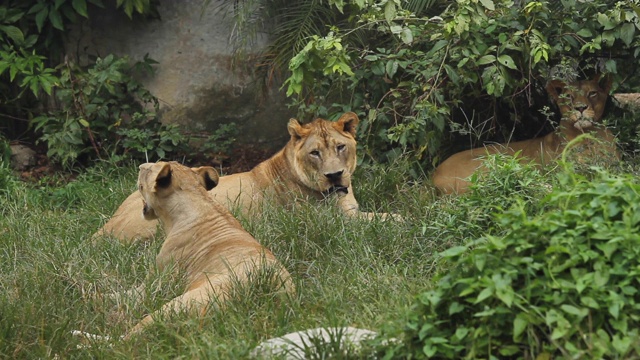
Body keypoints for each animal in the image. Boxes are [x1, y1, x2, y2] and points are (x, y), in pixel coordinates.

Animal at [94, 111, 398, 243]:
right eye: (315, 153)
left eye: (340, 147)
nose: (334, 175)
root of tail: (105, 227)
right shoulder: (330, 222)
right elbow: (387, 219)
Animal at [100, 162, 296, 338]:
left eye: (149, 169)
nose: (140, 166)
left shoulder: (156, 283)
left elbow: (121, 294)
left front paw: (97, 295)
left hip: (174, 305)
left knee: (126, 338)